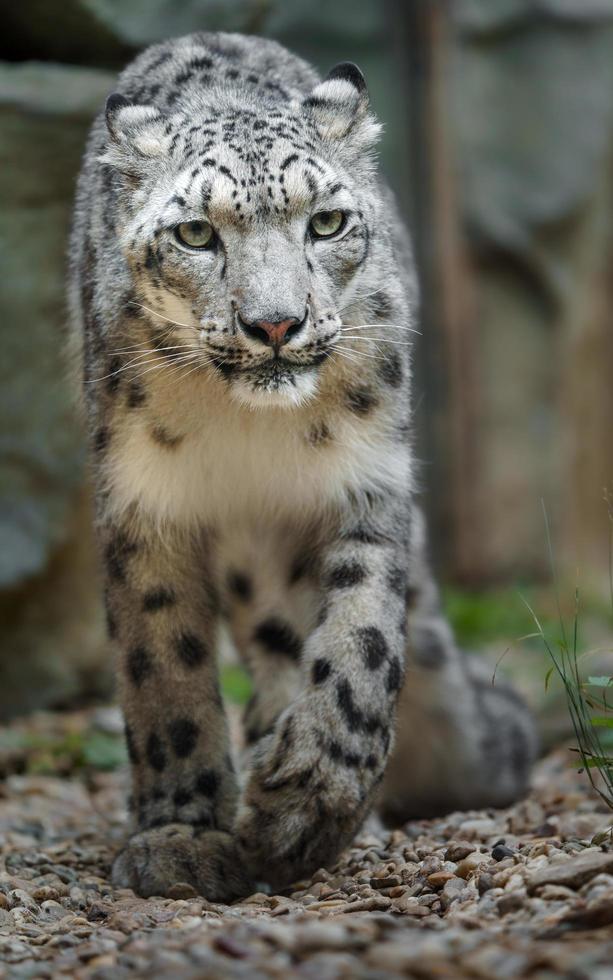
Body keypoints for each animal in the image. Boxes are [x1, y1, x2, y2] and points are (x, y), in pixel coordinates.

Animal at [68, 32, 536, 904]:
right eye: (194, 235)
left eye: (326, 222)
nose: (275, 324)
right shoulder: (146, 504)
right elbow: (163, 669)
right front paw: (183, 835)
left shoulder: (366, 479)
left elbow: (361, 642)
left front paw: (310, 796)